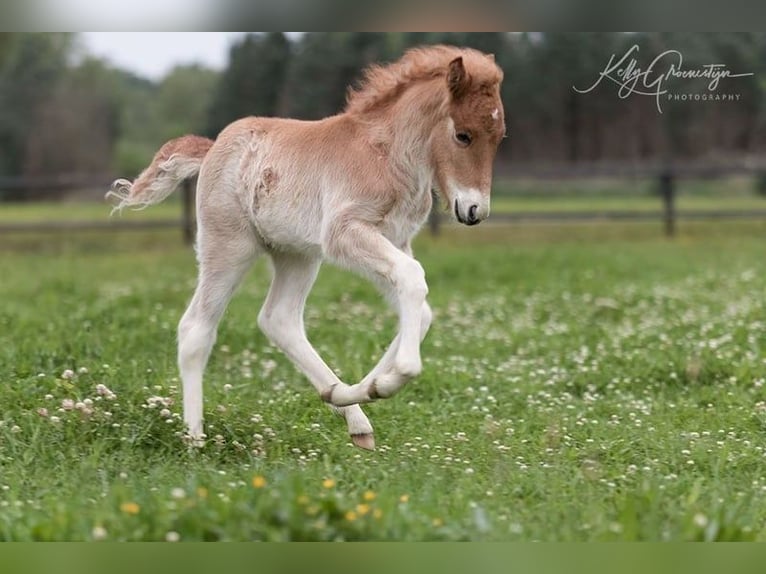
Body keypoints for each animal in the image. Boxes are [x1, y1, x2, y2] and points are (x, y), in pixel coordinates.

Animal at [108, 45, 506, 451]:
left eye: (500, 137)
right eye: (463, 135)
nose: (475, 211)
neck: (387, 155)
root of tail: (213, 146)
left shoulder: (394, 240)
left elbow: (420, 309)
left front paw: (371, 386)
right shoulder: (344, 233)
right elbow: (413, 279)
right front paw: (396, 376)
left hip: (297, 254)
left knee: (279, 319)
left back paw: (349, 410)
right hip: (229, 246)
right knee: (196, 329)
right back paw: (194, 438)